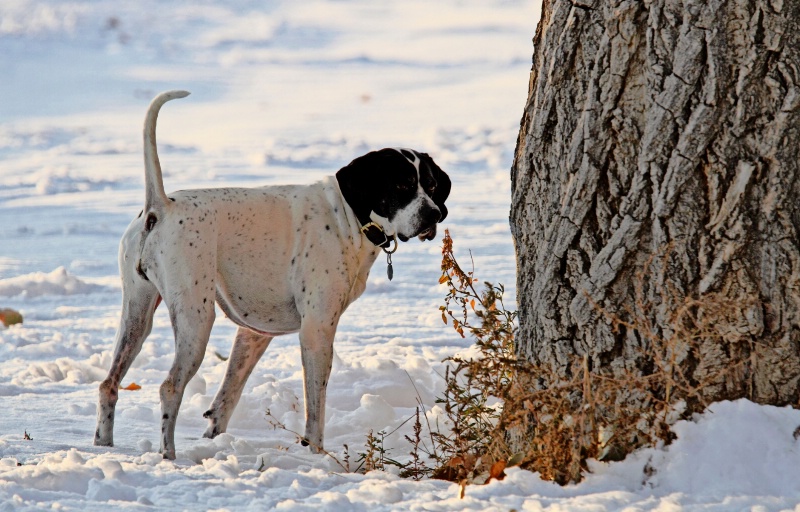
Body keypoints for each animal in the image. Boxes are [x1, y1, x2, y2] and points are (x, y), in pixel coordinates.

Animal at [94, 90, 450, 458]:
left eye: (431, 185)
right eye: (401, 185)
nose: (434, 215)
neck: (348, 215)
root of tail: (160, 206)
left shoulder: (253, 334)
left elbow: (227, 398)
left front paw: (214, 441)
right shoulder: (316, 330)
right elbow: (315, 408)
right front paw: (316, 455)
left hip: (137, 317)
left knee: (108, 384)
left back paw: (104, 446)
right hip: (196, 319)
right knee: (169, 387)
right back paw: (169, 456)